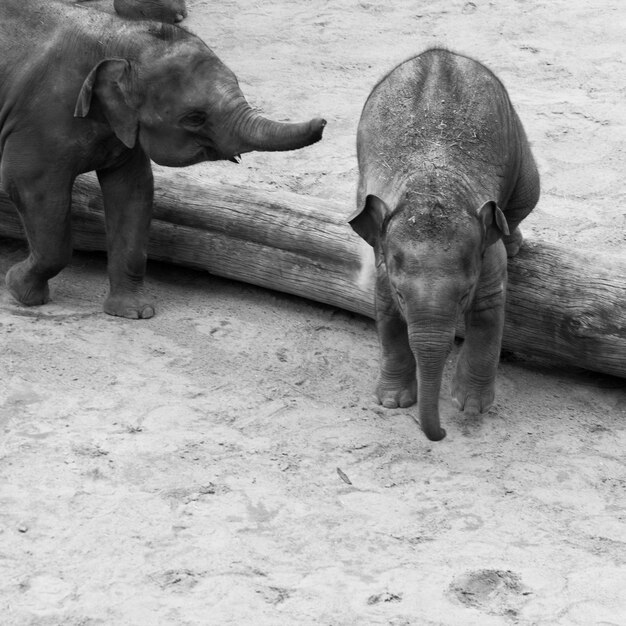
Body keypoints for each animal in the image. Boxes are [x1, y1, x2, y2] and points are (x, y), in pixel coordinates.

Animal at [0, 1, 322, 316]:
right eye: (194, 118)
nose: (323, 122)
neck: (115, 37)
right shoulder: (41, 120)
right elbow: (30, 188)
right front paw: (19, 290)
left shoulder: (124, 131)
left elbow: (134, 192)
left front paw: (134, 312)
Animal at [348, 48, 540, 438]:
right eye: (402, 294)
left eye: (464, 294)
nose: (443, 434)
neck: (433, 185)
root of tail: (440, 52)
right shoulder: (382, 256)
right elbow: (385, 311)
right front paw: (392, 402)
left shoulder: (486, 250)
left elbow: (489, 311)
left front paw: (471, 407)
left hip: (519, 142)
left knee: (526, 198)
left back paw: (515, 242)